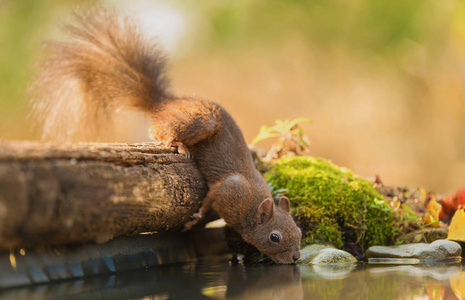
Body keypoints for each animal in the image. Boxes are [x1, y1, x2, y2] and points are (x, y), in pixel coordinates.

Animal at [31, 8, 300, 262]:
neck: (252, 207)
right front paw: (196, 217)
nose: (296, 258)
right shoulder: (228, 191)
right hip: (201, 121)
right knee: (157, 130)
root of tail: (164, 103)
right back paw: (177, 143)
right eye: (275, 237)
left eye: (298, 231)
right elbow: (210, 197)